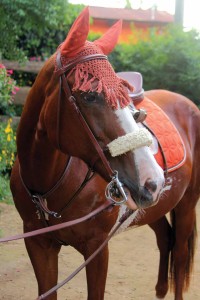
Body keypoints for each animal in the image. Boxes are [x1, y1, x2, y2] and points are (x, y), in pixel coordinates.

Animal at [9, 6, 200, 300]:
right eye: (89, 96)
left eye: (125, 95)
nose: (153, 181)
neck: (48, 187)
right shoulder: (38, 245)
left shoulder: (97, 249)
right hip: (153, 207)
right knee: (164, 238)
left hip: (187, 204)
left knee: (179, 258)